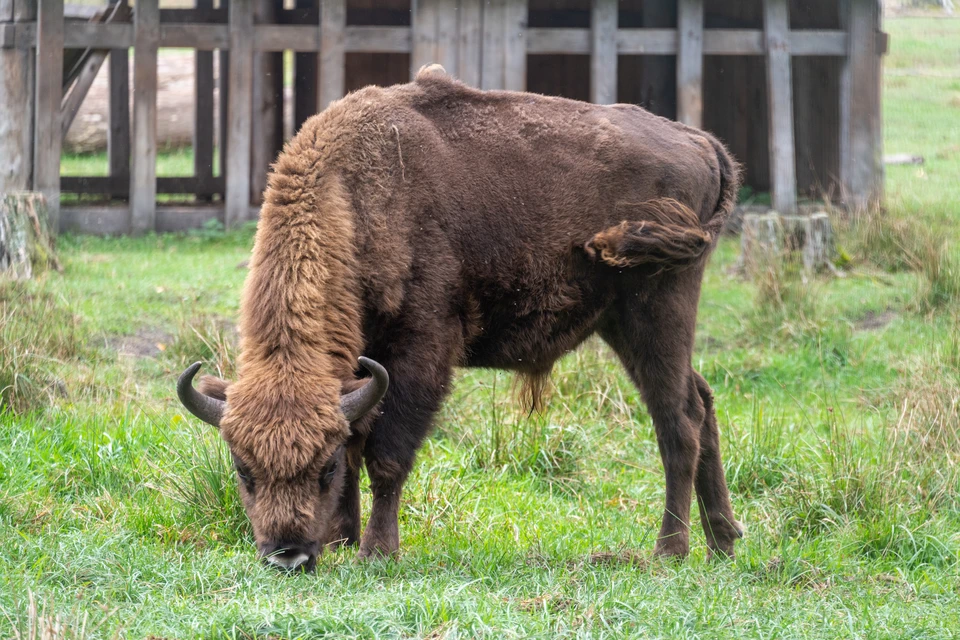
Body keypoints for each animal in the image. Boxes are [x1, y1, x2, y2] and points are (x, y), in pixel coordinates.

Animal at [176, 65, 744, 572]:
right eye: (242, 469)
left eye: (324, 467)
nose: (287, 556)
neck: (355, 195)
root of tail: (700, 141)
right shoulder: (363, 369)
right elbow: (361, 440)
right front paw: (342, 539)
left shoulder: (419, 352)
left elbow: (386, 455)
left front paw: (377, 551)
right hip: (623, 324)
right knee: (701, 400)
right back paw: (723, 543)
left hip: (657, 309)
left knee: (678, 421)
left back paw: (670, 550)